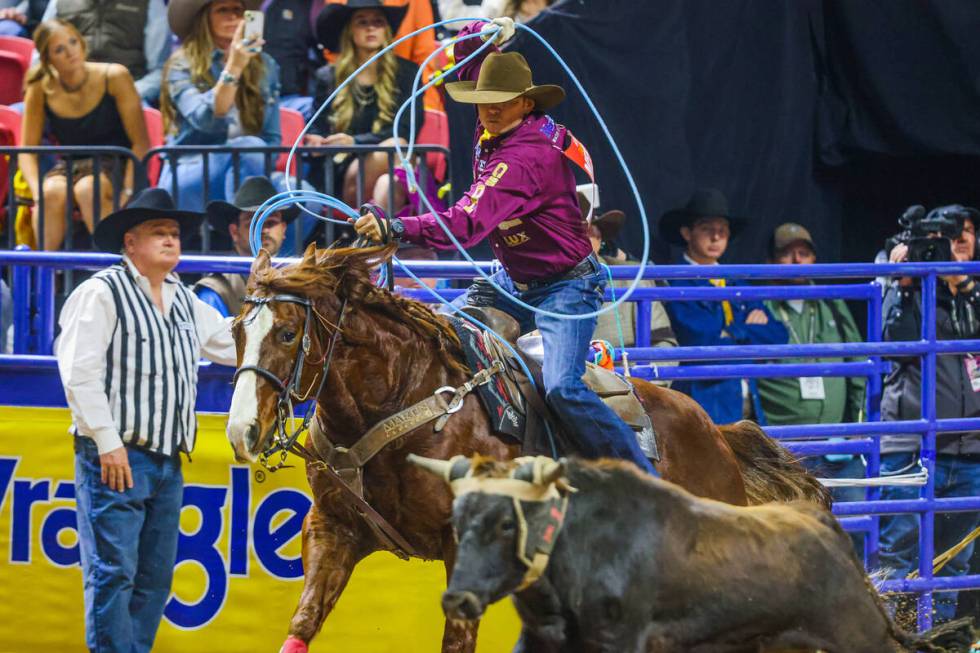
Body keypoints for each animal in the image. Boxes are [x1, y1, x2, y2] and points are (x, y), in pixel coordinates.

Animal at [226, 244, 832, 652]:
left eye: (287, 334)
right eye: (236, 330)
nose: (241, 431)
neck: (403, 396)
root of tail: (716, 431)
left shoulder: (463, 545)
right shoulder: (334, 529)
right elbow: (301, 624)